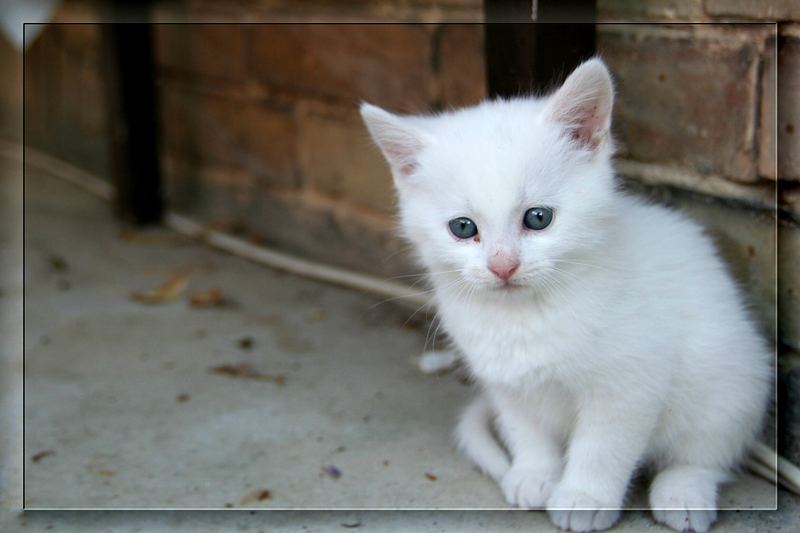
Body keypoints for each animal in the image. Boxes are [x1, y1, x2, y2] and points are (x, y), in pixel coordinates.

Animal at [360, 59, 768, 532]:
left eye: (538, 218)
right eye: (462, 227)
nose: (502, 265)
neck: (524, 314)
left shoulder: (629, 383)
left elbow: (603, 446)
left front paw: (584, 497)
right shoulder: (505, 380)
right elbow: (527, 430)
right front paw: (535, 474)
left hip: (729, 379)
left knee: (705, 452)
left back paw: (683, 492)